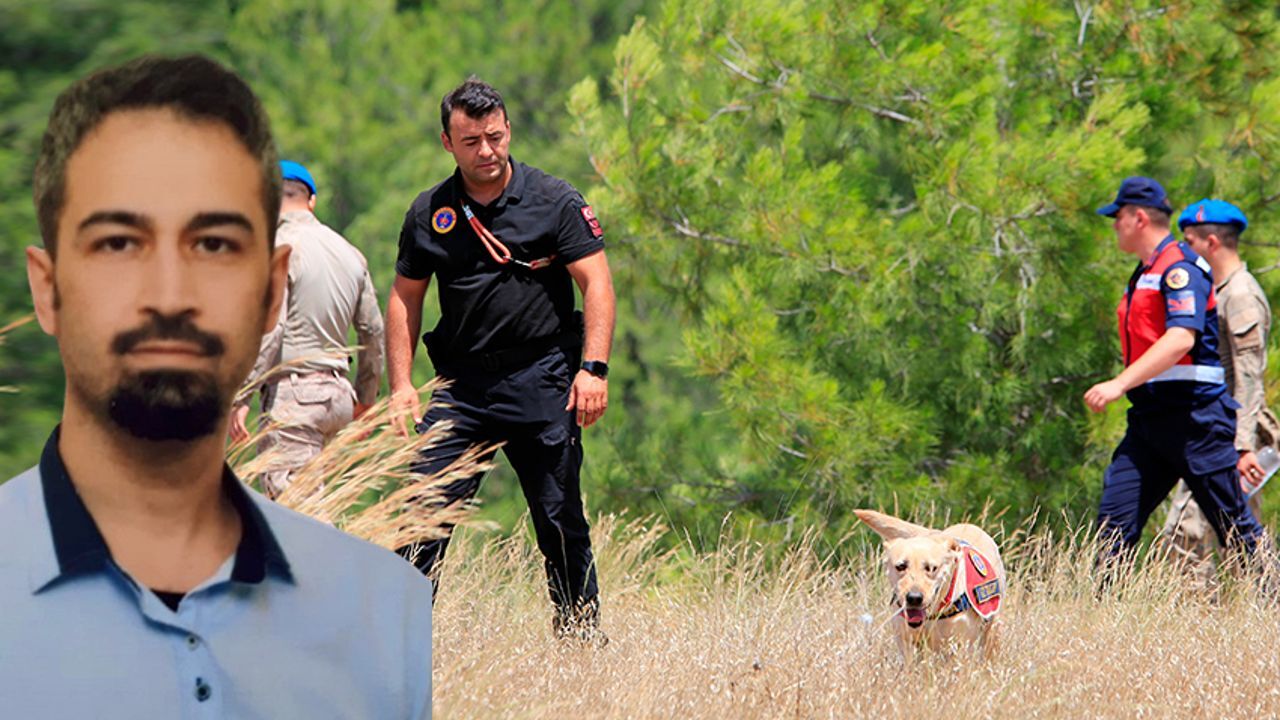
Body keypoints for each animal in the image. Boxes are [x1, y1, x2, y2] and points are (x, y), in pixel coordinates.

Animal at [855, 507, 1003, 661]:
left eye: (932, 568)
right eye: (901, 566)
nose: (914, 598)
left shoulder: (959, 645)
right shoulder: (907, 643)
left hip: (992, 628)